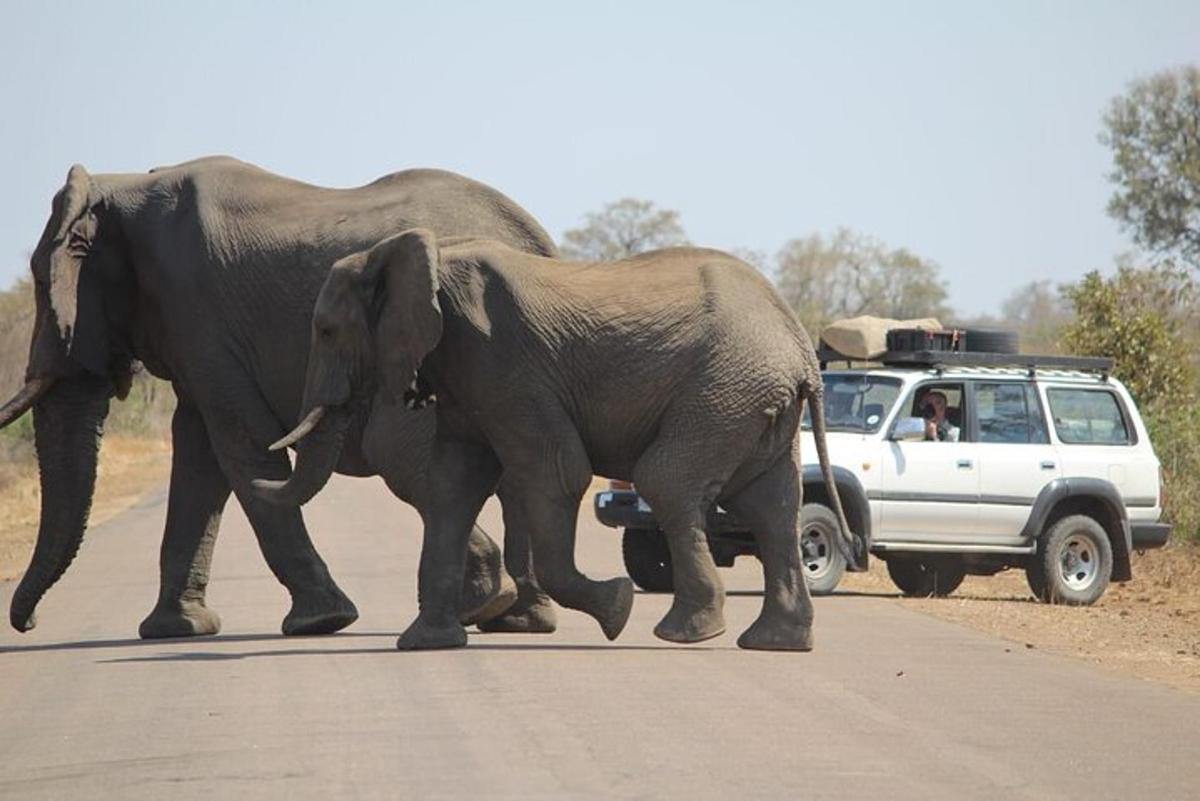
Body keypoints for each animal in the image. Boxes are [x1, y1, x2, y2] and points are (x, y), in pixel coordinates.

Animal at [0, 158, 559, 637]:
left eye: (44, 280)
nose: (29, 625)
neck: (122, 187)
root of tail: (542, 245)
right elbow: (198, 456)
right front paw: (176, 630)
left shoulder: (199, 315)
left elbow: (237, 443)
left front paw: (320, 622)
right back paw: (514, 618)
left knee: (401, 454)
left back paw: (483, 603)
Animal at [260, 226, 864, 652]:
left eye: (326, 331)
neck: (419, 253)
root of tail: (800, 346)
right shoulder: (465, 375)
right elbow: (453, 486)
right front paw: (424, 644)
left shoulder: (503, 362)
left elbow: (556, 472)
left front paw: (617, 608)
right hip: (756, 403)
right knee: (771, 506)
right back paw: (774, 643)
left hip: (725, 388)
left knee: (668, 482)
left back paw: (686, 633)